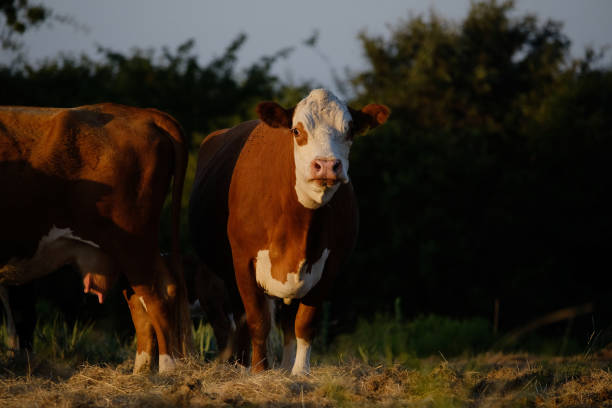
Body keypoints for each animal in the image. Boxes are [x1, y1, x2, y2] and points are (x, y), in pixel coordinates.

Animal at [0, 103, 191, 372]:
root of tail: (142, 113)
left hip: (133, 244)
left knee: (159, 294)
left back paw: (167, 369)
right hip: (124, 253)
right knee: (139, 302)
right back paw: (140, 373)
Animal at [189, 88, 390, 372]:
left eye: (350, 130)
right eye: (297, 130)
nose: (326, 165)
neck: (300, 227)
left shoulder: (328, 267)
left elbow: (304, 324)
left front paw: (299, 373)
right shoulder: (242, 262)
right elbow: (258, 322)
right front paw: (259, 372)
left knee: (285, 324)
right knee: (239, 322)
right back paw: (242, 365)